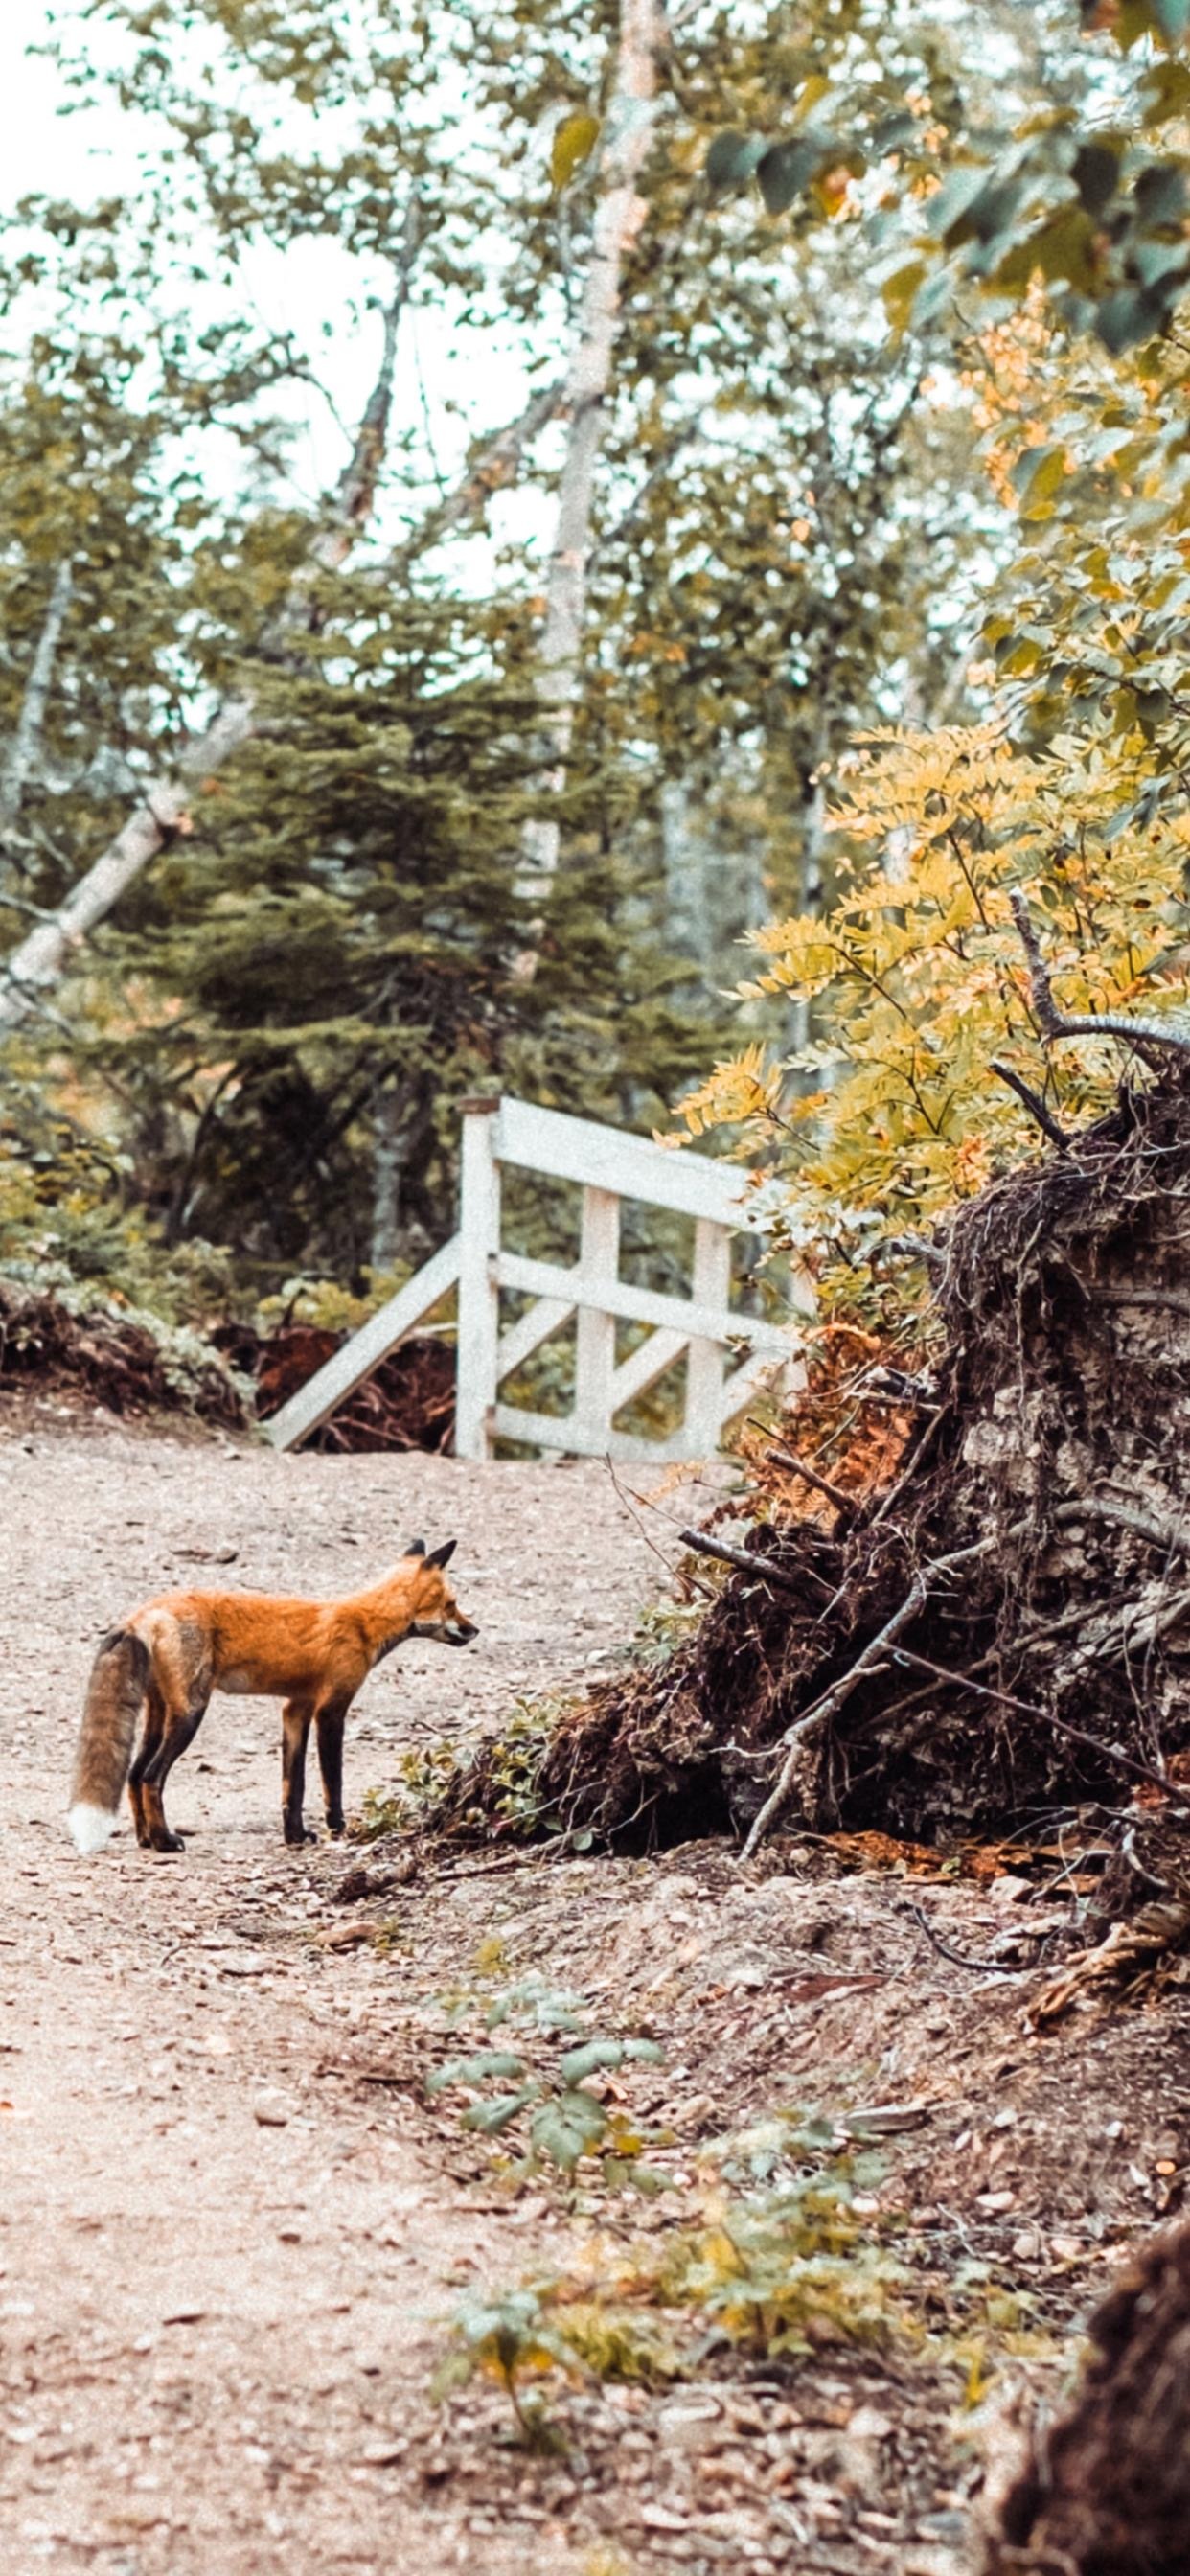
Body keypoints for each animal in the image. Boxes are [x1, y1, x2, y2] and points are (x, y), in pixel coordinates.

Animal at [67, 1535, 476, 1865]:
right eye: (452, 1604)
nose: (475, 1630)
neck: (363, 1624)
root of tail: (143, 1612)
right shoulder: (331, 1709)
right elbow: (332, 1781)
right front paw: (338, 1828)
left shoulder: (296, 1708)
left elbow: (293, 1785)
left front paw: (295, 1835)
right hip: (190, 1714)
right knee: (152, 1776)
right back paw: (165, 1841)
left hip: (160, 1712)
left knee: (135, 1774)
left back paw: (146, 1839)